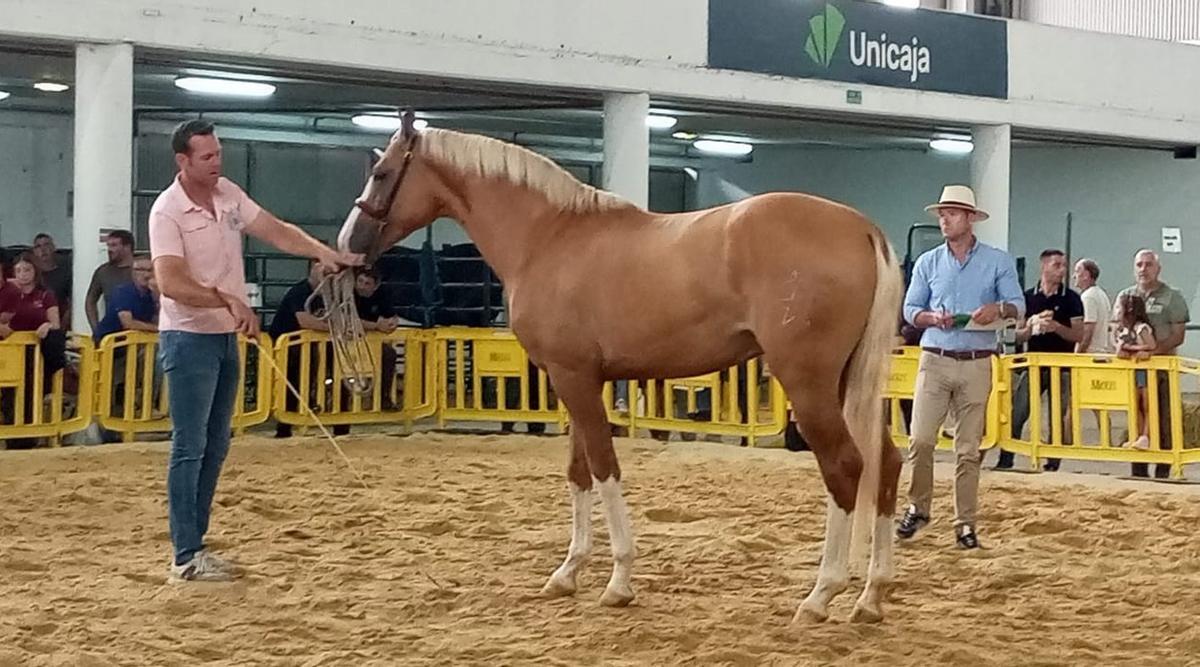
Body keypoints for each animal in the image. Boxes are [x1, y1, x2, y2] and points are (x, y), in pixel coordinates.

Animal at [338, 112, 905, 623]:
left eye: (382, 173)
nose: (348, 247)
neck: (549, 236)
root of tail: (862, 228)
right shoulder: (575, 380)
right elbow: (578, 471)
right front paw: (567, 573)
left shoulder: (574, 378)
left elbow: (604, 467)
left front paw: (619, 581)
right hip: (847, 382)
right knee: (887, 464)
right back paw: (871, 596)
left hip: (808, 383)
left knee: (844, 467)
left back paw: (821, 595)